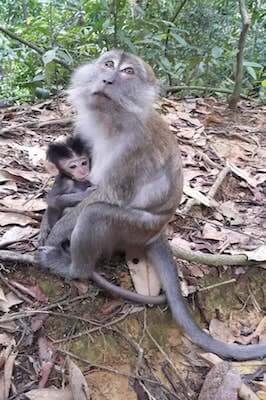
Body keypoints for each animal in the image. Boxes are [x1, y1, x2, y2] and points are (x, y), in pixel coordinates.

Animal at [36, 49, 264, 360]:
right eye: (108, 64)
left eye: (128, 72)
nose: (107, 79)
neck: (112, 119)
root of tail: (158, 232)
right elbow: (86, 187)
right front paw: (49, 215)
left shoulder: (135, 149)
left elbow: (106, 194)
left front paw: (58, 228)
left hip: (136, 229)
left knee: (96, 214)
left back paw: (73, 268)